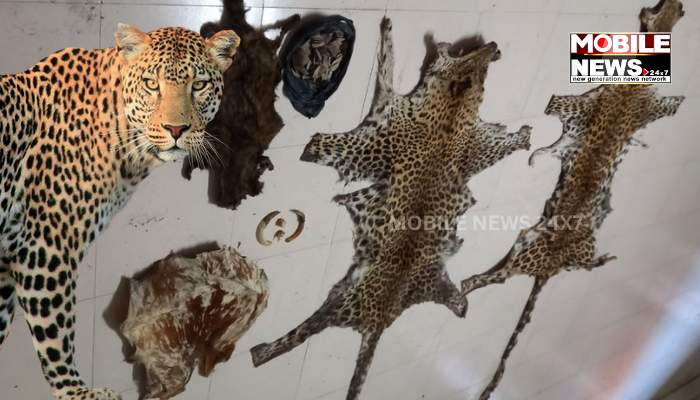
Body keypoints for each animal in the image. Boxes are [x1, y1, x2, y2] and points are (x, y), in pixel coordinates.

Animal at [0, 24, 239, 400]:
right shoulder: (46, 248)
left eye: (198, 85)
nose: (176, 130)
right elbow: (56, 334)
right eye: (151, 84)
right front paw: (76, 392)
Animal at [249, 18, 531, 400]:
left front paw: (386, 30)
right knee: (460, 303)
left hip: (341, 299)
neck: (455, 108)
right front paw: (523, 134)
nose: (493, 45)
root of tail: (380, 319)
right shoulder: (476, 147)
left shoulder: (385, 111)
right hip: (434, 286)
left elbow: (386, 65)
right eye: (484, 69)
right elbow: (503, 143)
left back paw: (259, 351)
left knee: (304, 331)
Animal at [459, 1, 686, 398]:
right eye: (655, 16)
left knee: (505, 276)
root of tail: (552, 266)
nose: (676, 5)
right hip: (535, 248)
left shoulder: (580, 105)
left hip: (529, 251)